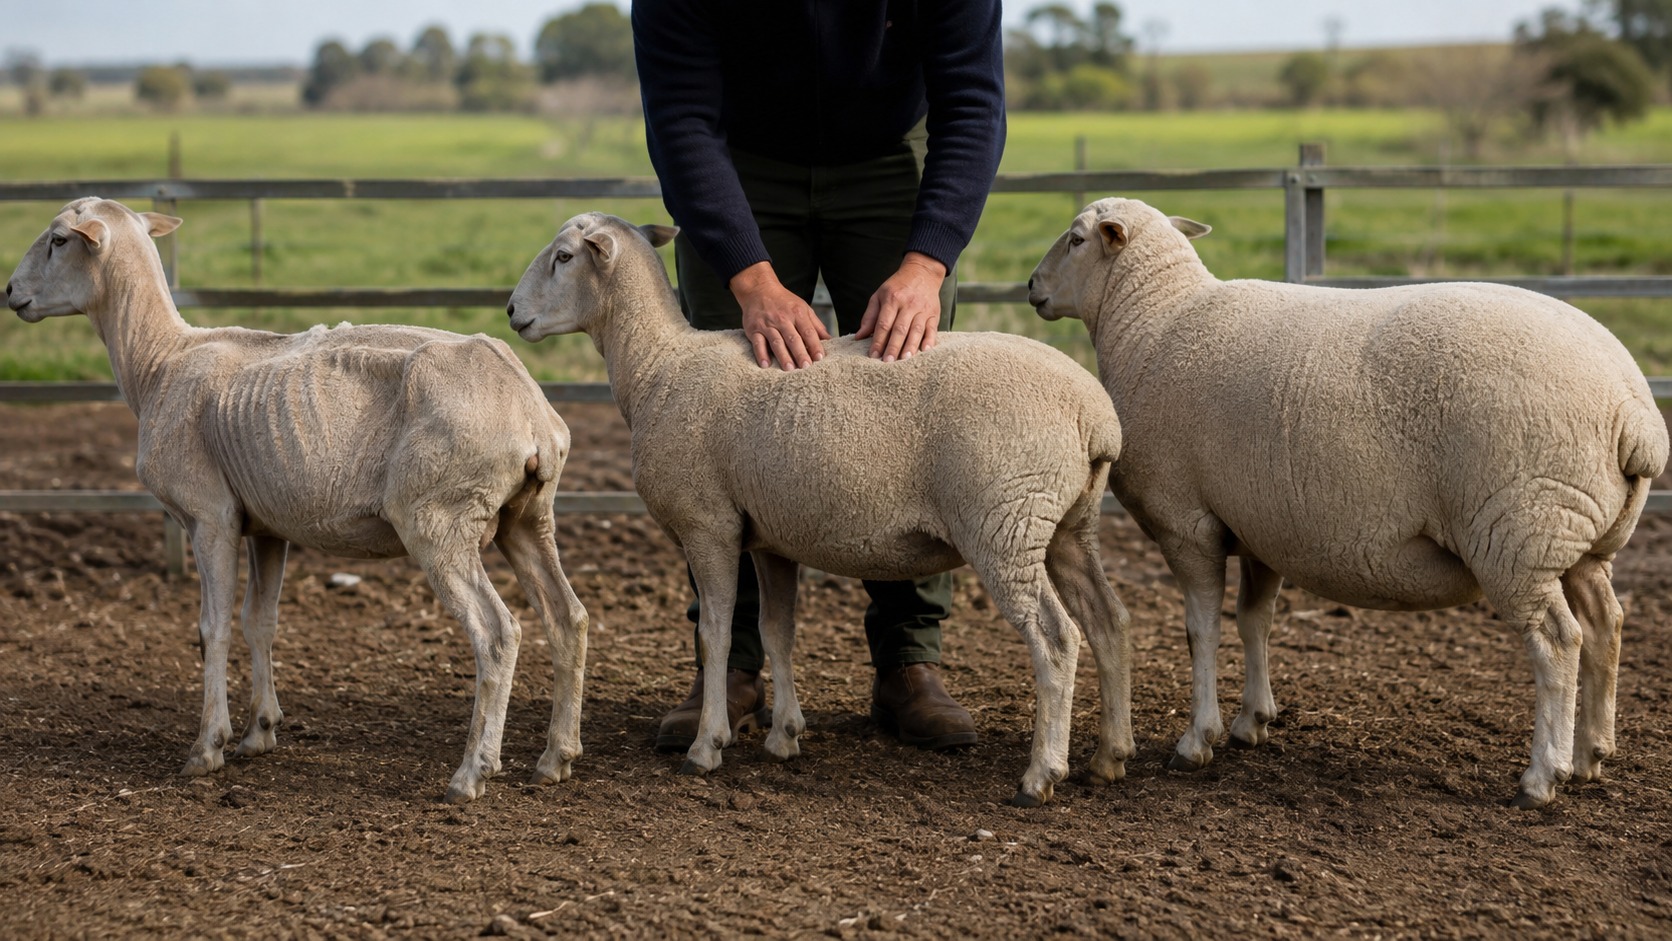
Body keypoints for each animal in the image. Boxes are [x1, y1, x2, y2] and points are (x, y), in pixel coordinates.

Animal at [5, 198, 590, 804]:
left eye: (57, 240)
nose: (10, 291)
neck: (158, 359)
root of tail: (530, 412)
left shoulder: (209, 516)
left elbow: (212, 627)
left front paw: (207, 747)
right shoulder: (265, 526)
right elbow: (259, 621)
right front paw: (259, 731)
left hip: (439, 517)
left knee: (497, 633)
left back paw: (472, 771)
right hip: (527, 517)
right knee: (568, 618)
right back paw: (556, 758)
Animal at [505, 212, 1131, 807]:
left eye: (564, 257)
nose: (511, 311)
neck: (659, 364)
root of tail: (1095, 415)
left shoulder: (708, 524)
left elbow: (715, 634)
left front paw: (707, 746)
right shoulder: (768, 537)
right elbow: (775, 631)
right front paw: (784, 735)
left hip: (1005, 521)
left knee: (1057, 638)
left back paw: (1040, 775)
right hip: (1064, 524)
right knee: (1108, 619)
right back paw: (1109, 756)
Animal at [1026, 196, 1669, 808]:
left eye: (1076, 239)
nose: (1032, 286)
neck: (1154, 320)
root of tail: (1634, 411)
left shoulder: (1186, 521)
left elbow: (1200, 630)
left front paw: (1196, 740)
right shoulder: (1260, 524)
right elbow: (1253, 620)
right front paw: (1251, 721)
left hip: (1519, 533)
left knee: (1557, 643)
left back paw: (1541, 778)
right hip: (1579, 537)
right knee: (1606, 625)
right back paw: (1589, 755)